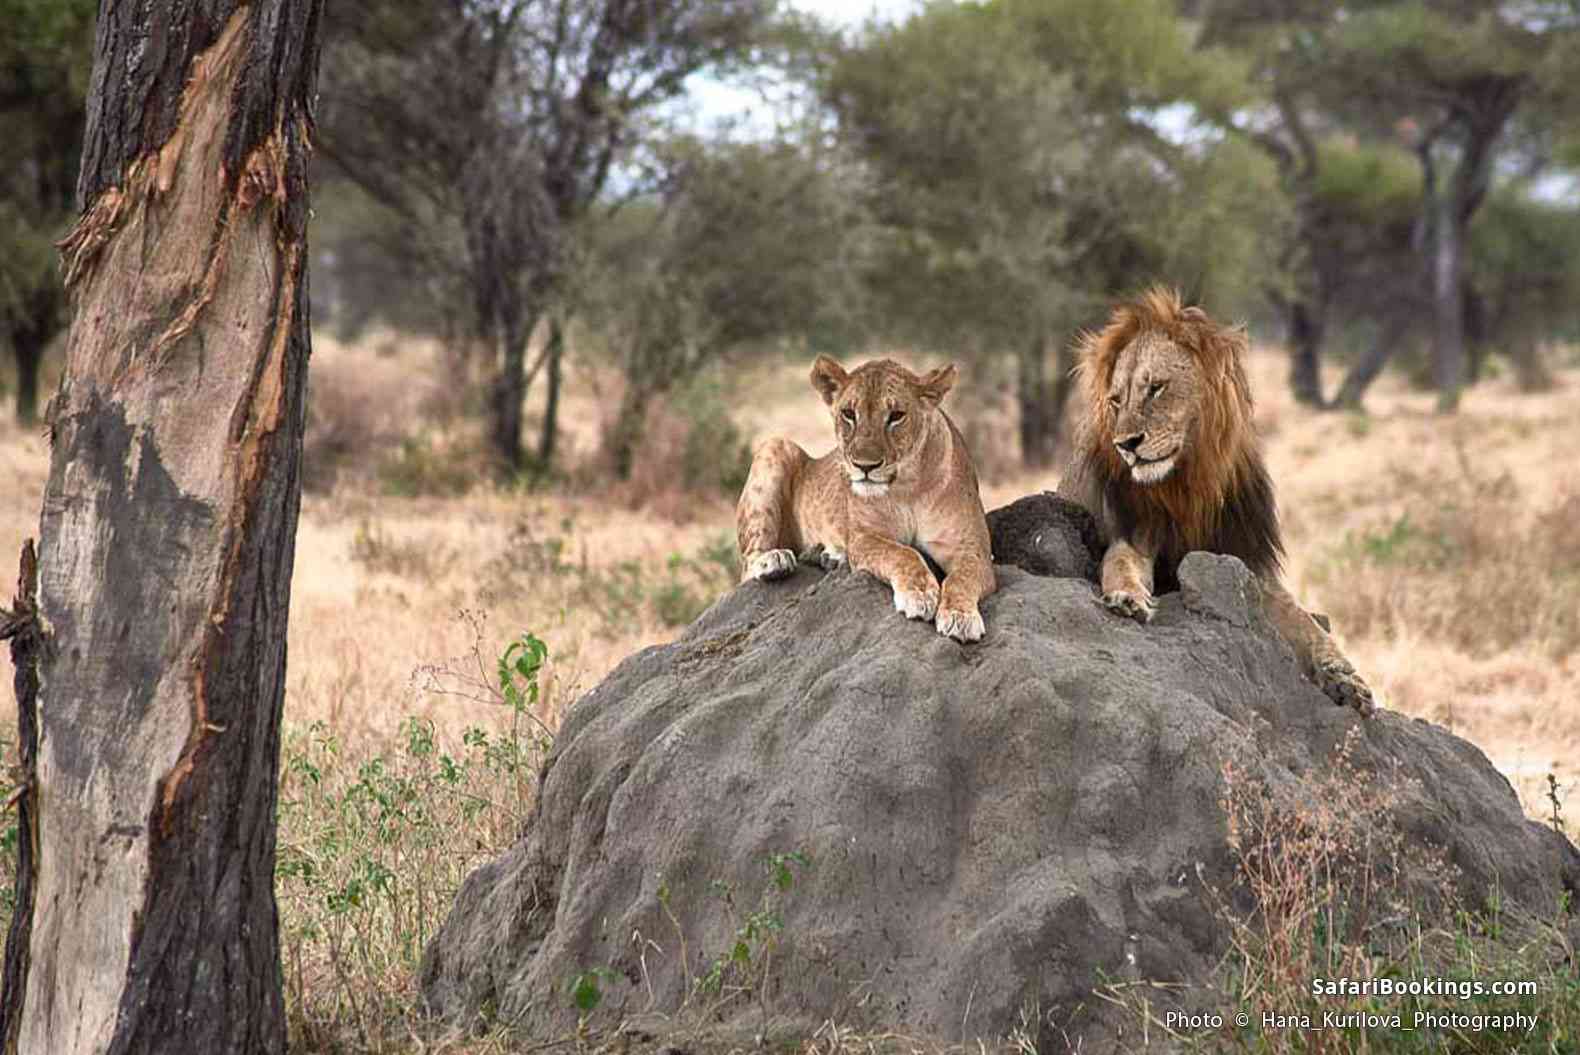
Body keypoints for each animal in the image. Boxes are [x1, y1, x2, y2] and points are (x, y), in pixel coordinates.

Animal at [735, 356, 997, 643]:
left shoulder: (973, 550)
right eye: (849, 414)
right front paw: (919, 594)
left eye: (896, 416)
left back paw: (831, 557)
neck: (907, 487)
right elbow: (902, 553)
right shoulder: (865, 538)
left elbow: (962, 579)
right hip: (775, 445)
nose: (865, 466)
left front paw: (960, 617)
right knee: (746, 567)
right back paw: (774, 560)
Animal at [1057, 287, 1374, 715]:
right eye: (1116, 400)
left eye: (1156, 387)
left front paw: (1346, 677)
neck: (1190, 483)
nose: (1126, 445)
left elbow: (1305, 622)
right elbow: (1119, 562)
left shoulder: (1244, 561)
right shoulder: (1133, 533)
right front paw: (1127, 598)